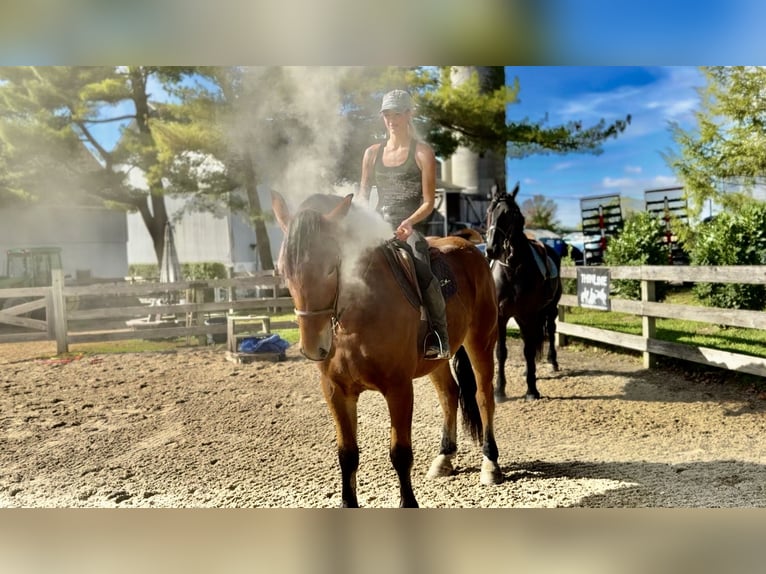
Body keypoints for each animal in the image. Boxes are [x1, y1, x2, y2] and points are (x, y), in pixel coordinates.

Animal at [271, 191, 503, 508]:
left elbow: (400, 453)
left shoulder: (398, 388)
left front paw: (409, 503)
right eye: (283, 271)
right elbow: (347, 454)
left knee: (483, 396)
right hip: (438, 360)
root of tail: (468, 246)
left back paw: (490, 464)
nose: (313, 347)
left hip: (481, 340)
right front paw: (348, 502)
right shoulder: (335, 391)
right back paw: (444, 457)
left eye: (330, 267)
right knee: (449, 394)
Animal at [485, 182, 562, 402]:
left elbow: (529, 350)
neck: (512, 269)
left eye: (511, 213)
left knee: (550, 331)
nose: (491, 249)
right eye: (489, 212)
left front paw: (532, 390)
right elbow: (501, 352)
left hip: (550, 309)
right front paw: (499, 391)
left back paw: (552, 363)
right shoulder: (501, 316)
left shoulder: (529, 314)